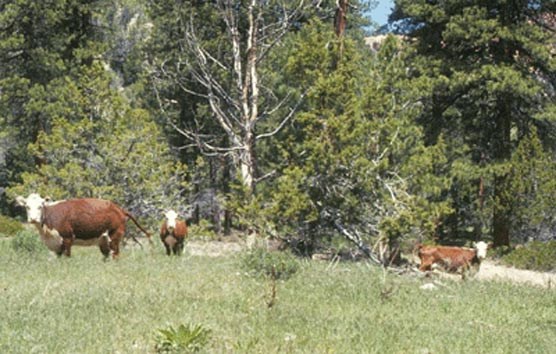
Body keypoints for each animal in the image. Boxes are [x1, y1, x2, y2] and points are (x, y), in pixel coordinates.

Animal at [16, 192, 151, 258]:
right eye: (27, 206)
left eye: (40, 206)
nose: (33, 219)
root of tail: (119, 208)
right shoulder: (56, 245)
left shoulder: (67, 238)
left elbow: (67, 257)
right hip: (103, 240)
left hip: (114, 236)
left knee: (116, 255)